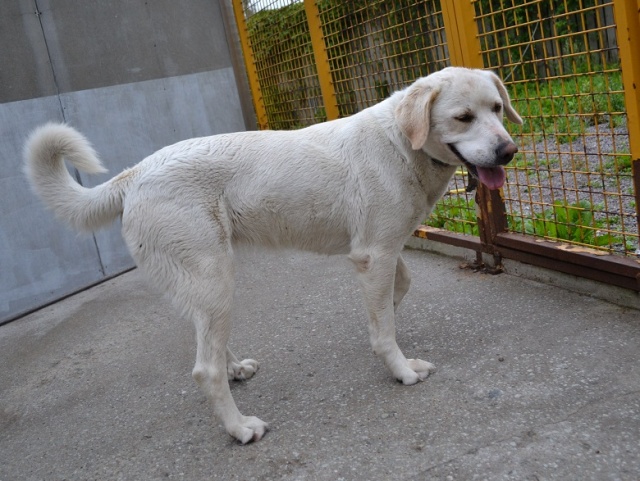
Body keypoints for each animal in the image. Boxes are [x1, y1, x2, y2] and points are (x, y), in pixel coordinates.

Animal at [24, 67, 522, 443]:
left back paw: (235, 368)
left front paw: (390, 326)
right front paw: (399, 369)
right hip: (216, 279)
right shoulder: (374, 254)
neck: (402, 141)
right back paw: (240, 428)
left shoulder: (380, 251)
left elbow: (397, 295)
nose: (509, 151)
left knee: (207, 340)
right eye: (462, 117)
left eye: (497, 109)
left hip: (205, 285)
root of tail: (136, 173)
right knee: (203, 369)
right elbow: (384, 330)